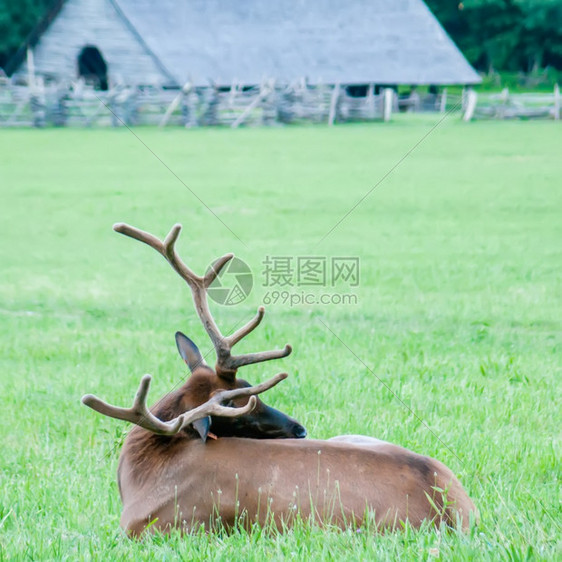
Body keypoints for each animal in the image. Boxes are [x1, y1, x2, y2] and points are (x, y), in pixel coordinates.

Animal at [81, 222, 474, 532]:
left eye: (246, 392)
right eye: (241, 403)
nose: (300, 430)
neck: (142, 476)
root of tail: (454, 510)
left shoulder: (162, 527)